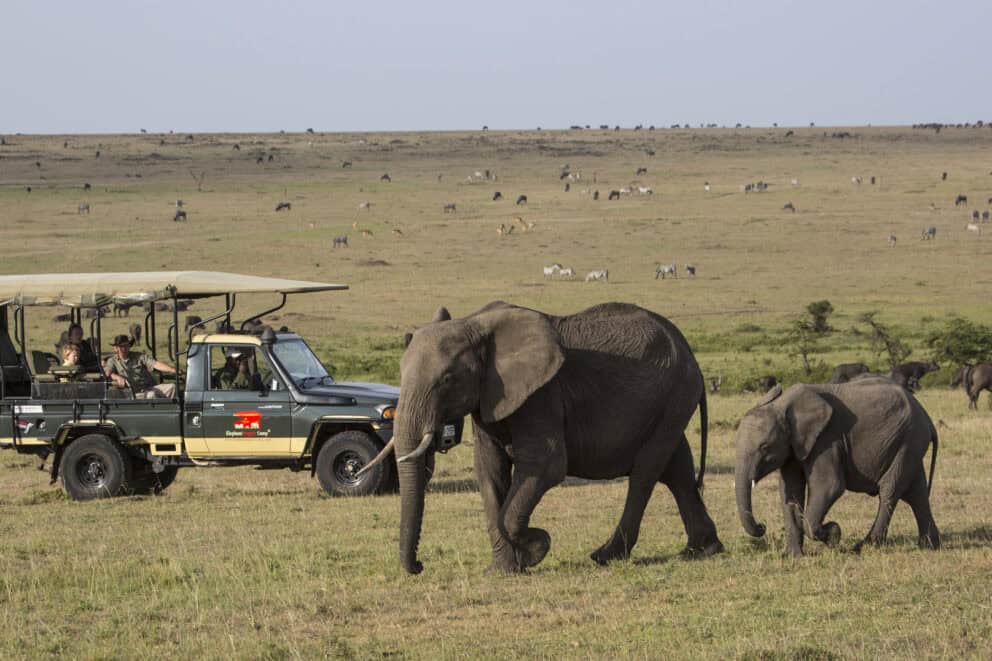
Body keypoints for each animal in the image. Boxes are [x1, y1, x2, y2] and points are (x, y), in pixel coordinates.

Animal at [367, 301, 723, 574]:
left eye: (446, 379)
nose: (419, 566)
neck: (474, 325)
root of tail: (689, 351)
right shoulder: (488, 398)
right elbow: (489, 470)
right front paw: (502, 570)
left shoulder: (541, 394)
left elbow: (546, 465)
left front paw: (537, 547)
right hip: (669, 402)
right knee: (677, 467)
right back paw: (702, 550)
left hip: (675, 394)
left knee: (646, 472)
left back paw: (605, 556)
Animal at [735, 379, 940, 557]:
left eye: (764, 447)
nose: (762, 526)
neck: (782, 405)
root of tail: (927, 418)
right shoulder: (794, 446)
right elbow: (790, 492)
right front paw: (794, 557)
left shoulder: (827, 439)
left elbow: (829, 486)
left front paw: (834, 534)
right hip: (909, 443)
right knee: (917, 493)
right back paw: (930, 546)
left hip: (909, 439)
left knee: (890, 490)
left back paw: (863, 547)